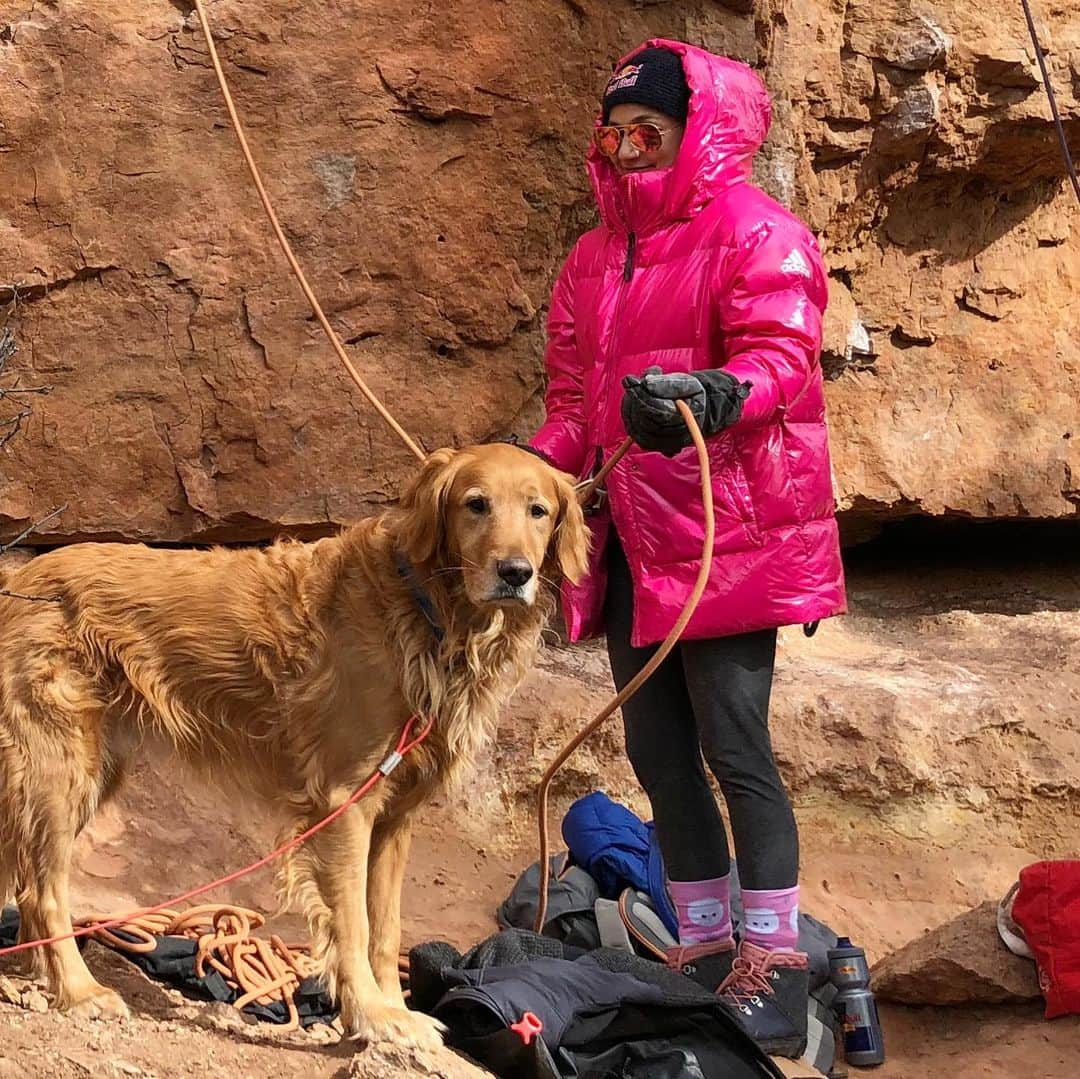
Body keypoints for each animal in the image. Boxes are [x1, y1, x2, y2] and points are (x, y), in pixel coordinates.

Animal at [0, 442, 583, 1049]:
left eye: (538, 511)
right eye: (476, 504)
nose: (515, 573)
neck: (428, 611)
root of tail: (26, 576)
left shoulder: (394, 819)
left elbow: (386, 929)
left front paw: (396, 1011)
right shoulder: (347, 802)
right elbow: (353, 925)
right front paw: (370, 1014)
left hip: (85, 774)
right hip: (58, 770)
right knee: (42, 890)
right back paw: (79, 989)